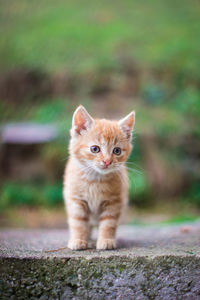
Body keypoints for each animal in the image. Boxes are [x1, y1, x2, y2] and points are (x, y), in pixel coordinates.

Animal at [63, 105, 135, 251]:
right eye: (95, 149)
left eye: (117, 151)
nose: (107, 161)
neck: (95, 180)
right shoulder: (75, 200)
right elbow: (78, 222)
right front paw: (78, 240)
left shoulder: (114, 202)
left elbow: (109, 223)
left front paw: (106, 240)